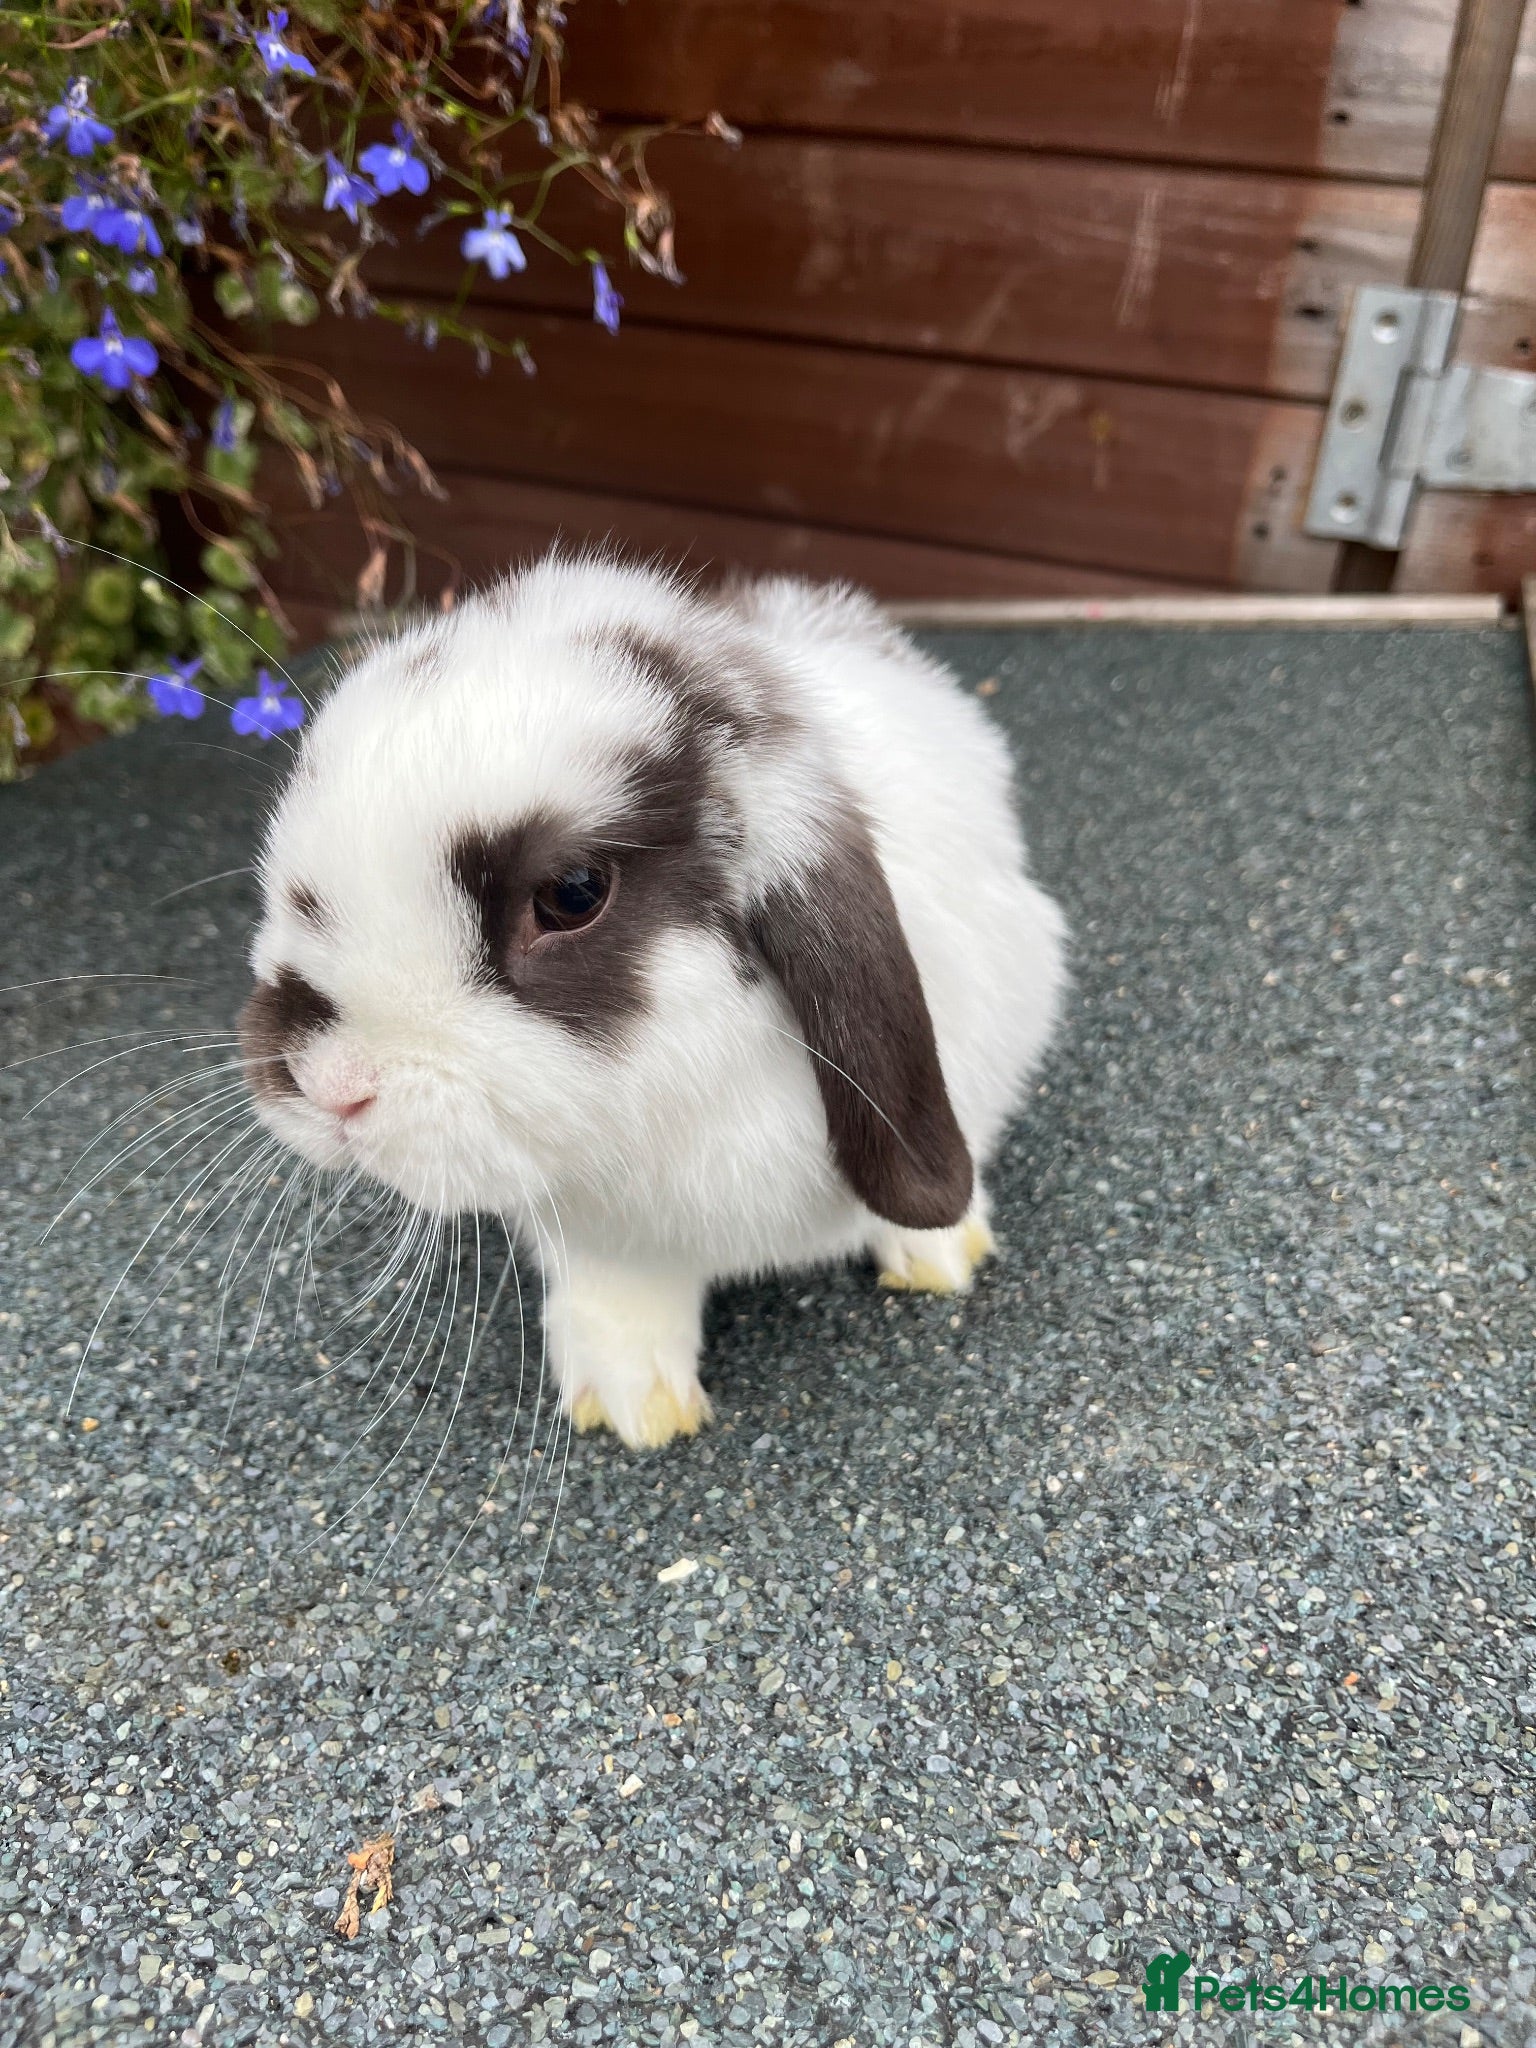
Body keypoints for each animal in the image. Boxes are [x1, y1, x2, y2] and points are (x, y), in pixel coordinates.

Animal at [239, 554, 1068, 1450]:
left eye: (572, 894)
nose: (330, 1086)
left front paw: (943, 1252)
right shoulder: (600, 1228)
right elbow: (622, 1296)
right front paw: (636, 1405)